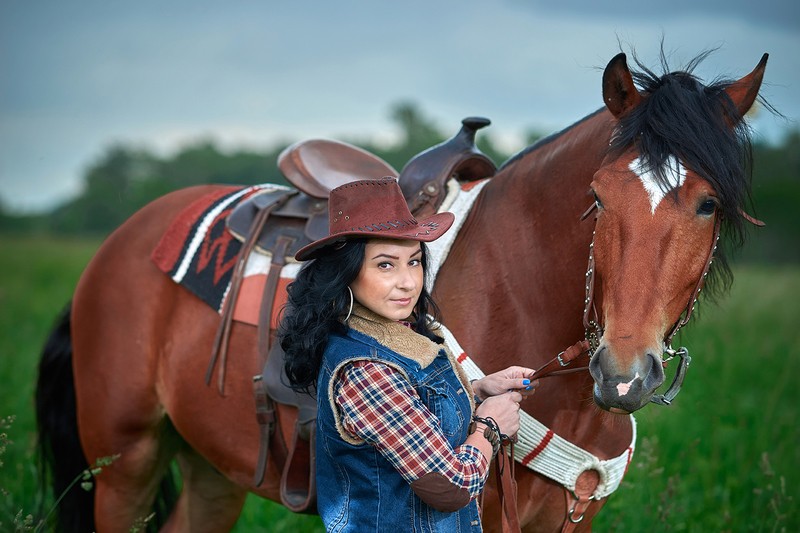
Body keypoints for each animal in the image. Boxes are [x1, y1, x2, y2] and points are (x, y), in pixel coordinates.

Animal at [36, 48, 768, 528]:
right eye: (598, 195)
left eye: (708, 204)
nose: (622, 374)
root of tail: (121, 241)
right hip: (125, 462)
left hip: (212, 469)